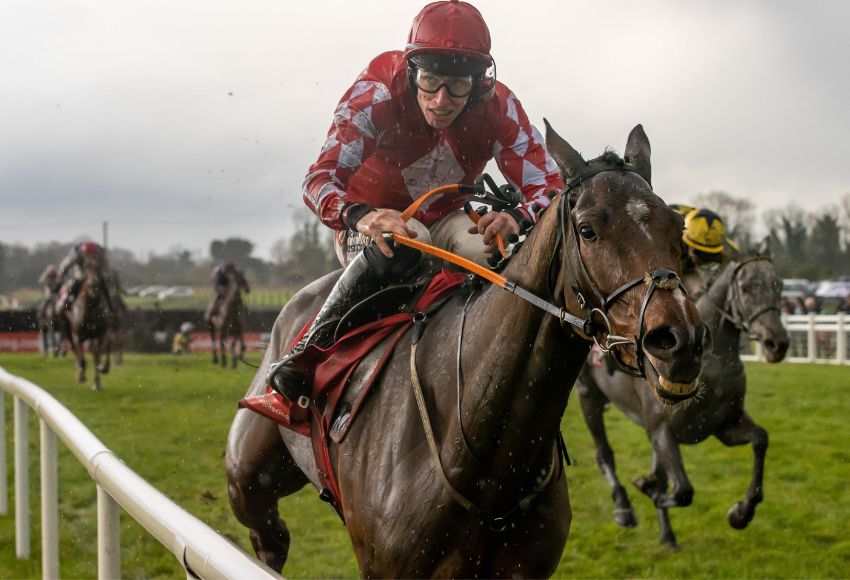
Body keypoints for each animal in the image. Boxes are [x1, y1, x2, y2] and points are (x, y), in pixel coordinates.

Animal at [576, 242, 788, 552]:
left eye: (778, 285)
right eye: (747, 287)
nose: (778, 344)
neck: (712, 368)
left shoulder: (724, 425)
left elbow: (761, 439)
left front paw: (741, 512)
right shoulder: (662, 429)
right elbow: (682, 490)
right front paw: (647, 488)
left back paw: (667, 534)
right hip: (588, 396)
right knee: (604, 454)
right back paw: (624, 508)